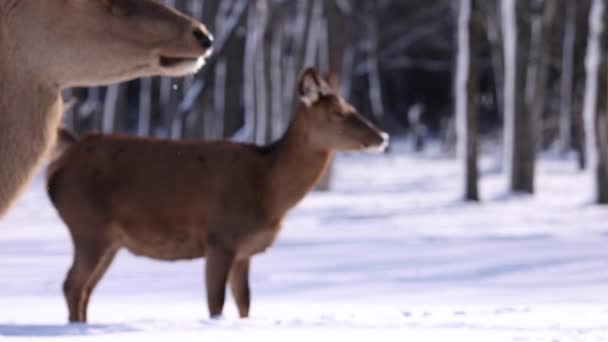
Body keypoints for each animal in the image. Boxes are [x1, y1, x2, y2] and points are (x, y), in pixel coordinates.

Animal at [46, 68, 390, 322]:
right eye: (337, 112)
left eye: (352, 106)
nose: (383, 137)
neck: (268, 188)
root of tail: (61, 162)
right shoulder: (220, 238)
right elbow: (216, 305)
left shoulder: (245, 251)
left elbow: (245, 304)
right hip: (87, 225)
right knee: (72, 285)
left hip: (110, 240)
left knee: (84, 289)